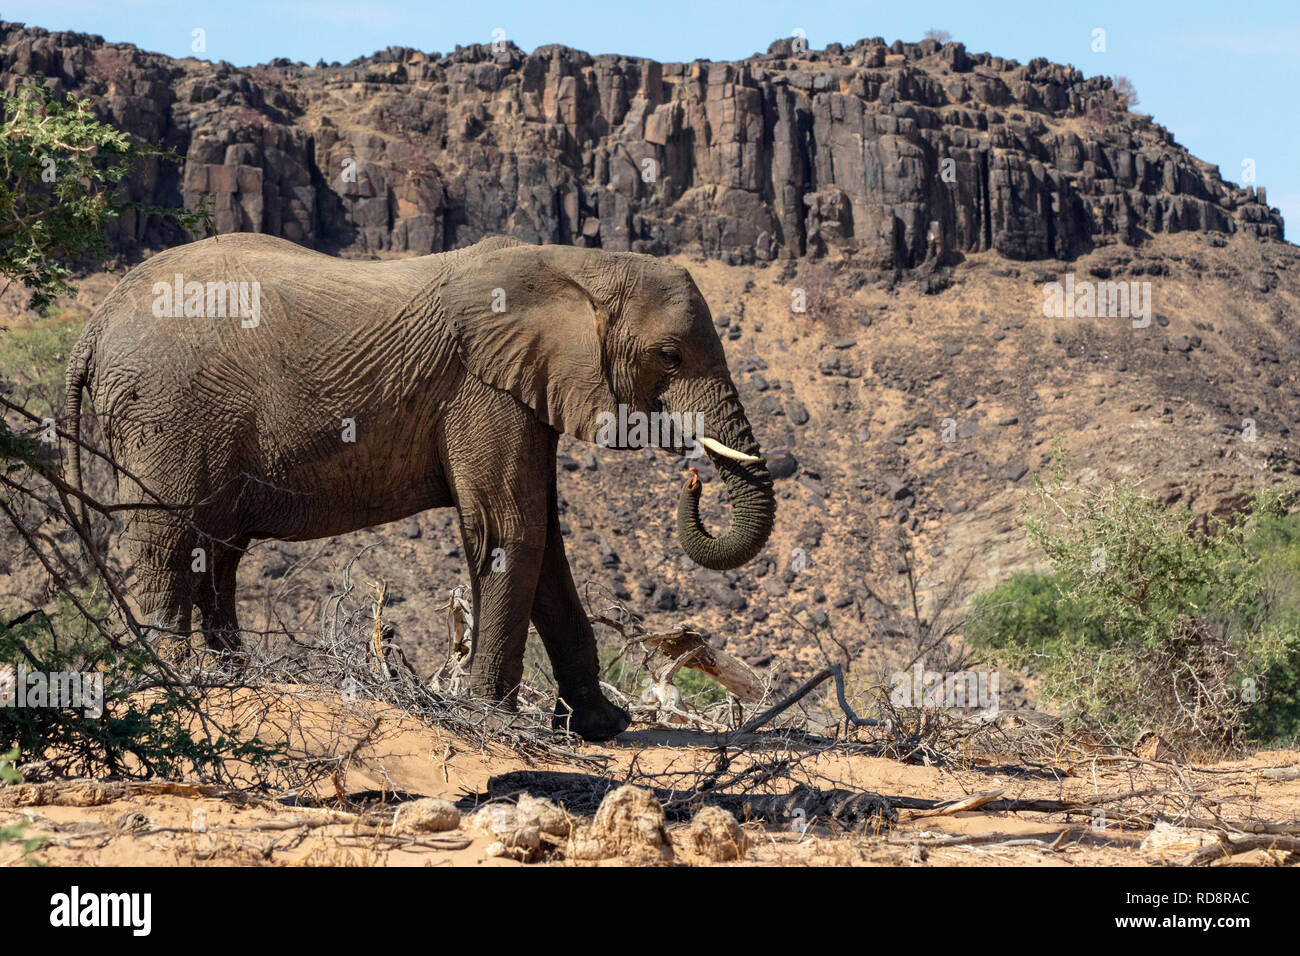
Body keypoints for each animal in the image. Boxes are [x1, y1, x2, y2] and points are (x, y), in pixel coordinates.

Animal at [65, 231, 769, 738]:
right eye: (670, 356)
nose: (694, 475)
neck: (579, 263)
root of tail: (93, 327)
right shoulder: (483, 387)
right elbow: (510, 530)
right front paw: (492, 716)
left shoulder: (524, 389)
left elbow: (545, 538)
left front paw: (603, 727)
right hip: (167, 415)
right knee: (168, 540)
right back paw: (181, 677)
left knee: (217, 550)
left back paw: (235, 675)